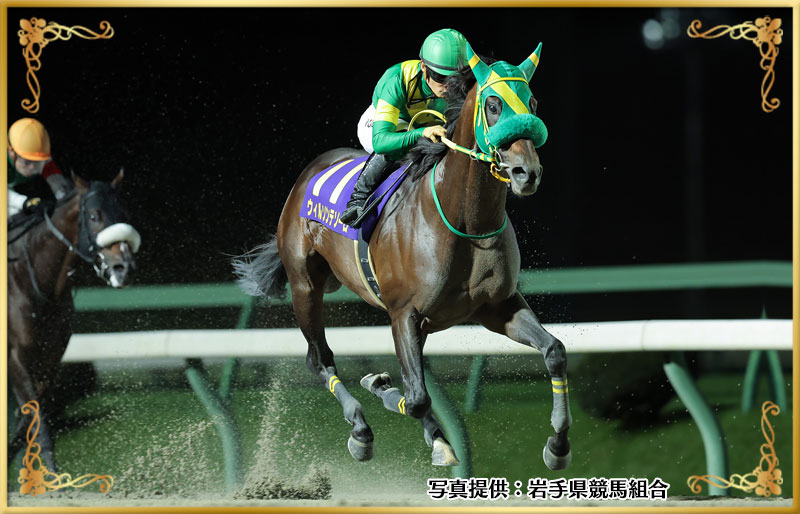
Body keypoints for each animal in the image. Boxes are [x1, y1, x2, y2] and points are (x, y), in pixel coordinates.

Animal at [7, 169, 141, 472]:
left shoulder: (50, 356)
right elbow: (36, 416)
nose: (123, 268)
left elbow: (30, 416)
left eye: (124, 212)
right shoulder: (15, 356)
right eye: (93, 216)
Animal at [233, 43, 572, 471]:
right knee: (320, 358)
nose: (526, 173)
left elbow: (554, 352)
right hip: (305, 285)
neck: (464, 220)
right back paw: (361, 427)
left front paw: (557, 445)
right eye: (493, 104)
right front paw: (377, 386)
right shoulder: (403, 313)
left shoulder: (497, 307)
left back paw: (436, 438)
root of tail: (309, 173)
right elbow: (415, 399)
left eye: (533, 102)